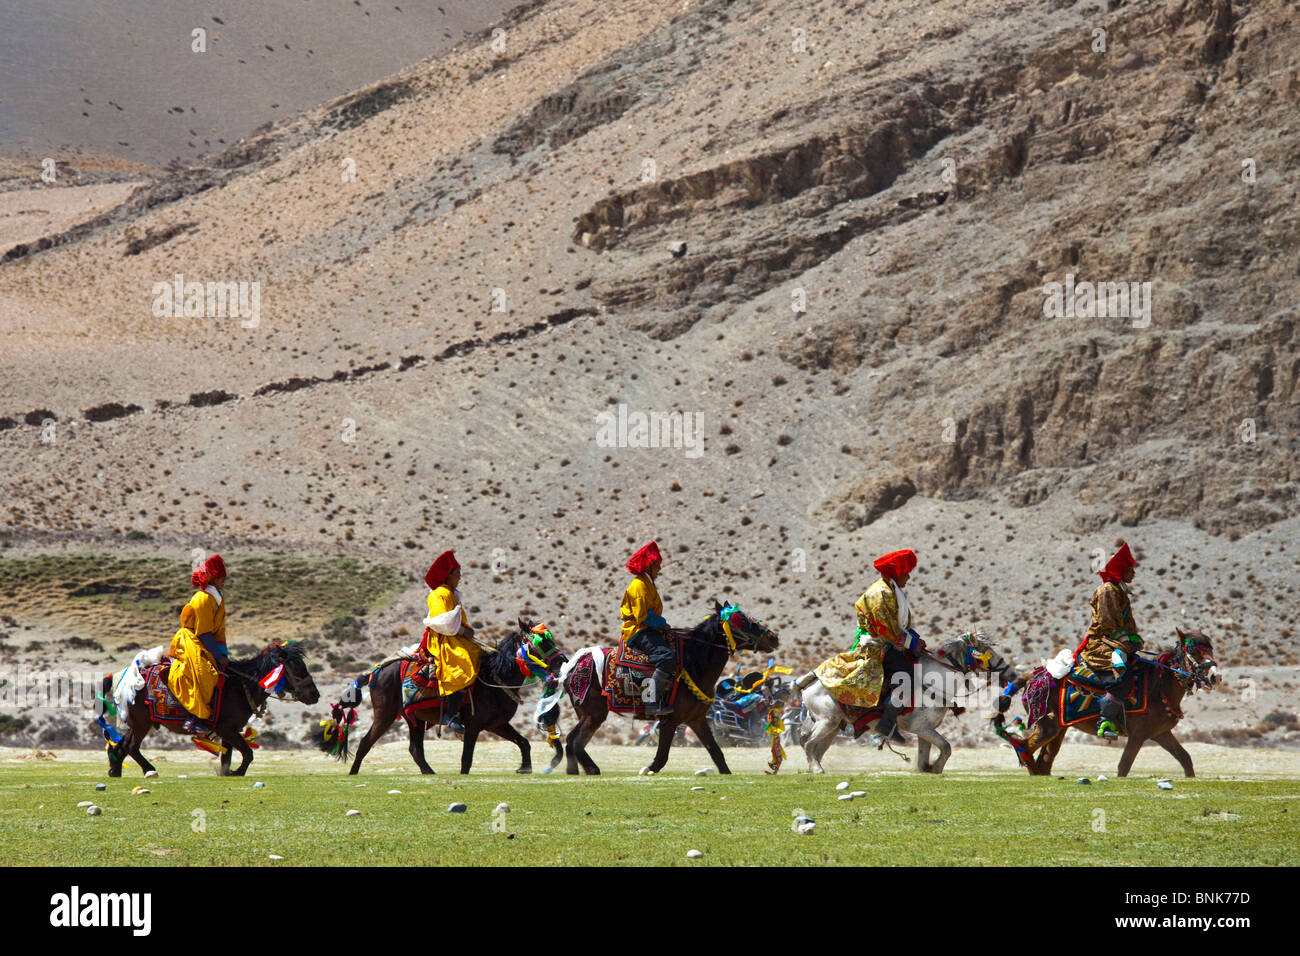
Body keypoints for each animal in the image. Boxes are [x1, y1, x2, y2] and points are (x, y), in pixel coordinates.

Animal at [102, 642, 321, 780]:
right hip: (142, 723)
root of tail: (123, 676)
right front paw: (236, 772)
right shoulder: (227, 729)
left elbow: (228, 756)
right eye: (295, 667)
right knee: (131, 746)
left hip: (138, 723)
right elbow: (248, 753)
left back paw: (115, 771)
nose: (315, 695)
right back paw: (149, 770)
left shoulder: (230, 731)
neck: (240, 687)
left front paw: (226, 772)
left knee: (120, 747)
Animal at [340, 621, 564, 780]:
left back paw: (429, 772)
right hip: (385, 714)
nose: (562, 662)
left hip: (414, 718)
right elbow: (466, 759)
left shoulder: (497, 724)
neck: (495, 678)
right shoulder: (474, 726)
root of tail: (378, 669)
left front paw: (524, 768)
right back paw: (353, 773)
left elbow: (524, 742)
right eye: (541, 643)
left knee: (415, 749)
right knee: (366, 742)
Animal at [561, 606, 780, 780]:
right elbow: (662, 756)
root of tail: (573, 666)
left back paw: (576, 770)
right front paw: (647, 769)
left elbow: (716, 752)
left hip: (588, 714)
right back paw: (591, 769)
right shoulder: (670, 720)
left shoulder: (697, 720)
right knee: (575, 741)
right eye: (739, 620)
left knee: (573, 741)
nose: (773, 637)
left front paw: (726, 772)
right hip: (594, 714)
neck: (694, 663)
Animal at [790, 634, 1013, 780]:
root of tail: (810, 681)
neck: (935, 683)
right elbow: (947, 747)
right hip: (827, 722)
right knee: (808, 744)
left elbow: (926, 756)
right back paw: (817, 770)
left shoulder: (925, 731)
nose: (1010, 674)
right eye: (986, 652)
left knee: (815, 748)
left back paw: (815, 769)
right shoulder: (921, 728)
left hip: (834, 726)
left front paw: (929, 768)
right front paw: (936, 767)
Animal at [1013, 629, 1216, 780]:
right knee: (1024, 745)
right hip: (1048, 726)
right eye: (1194, 651)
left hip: (1059, 729)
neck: (1158, 687)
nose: (1215, 676)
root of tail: (1033, 676)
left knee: (1044, 760)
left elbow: (1185, 759)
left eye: (1211, 650)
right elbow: (1124, 766)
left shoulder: (1161, 733)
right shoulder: (1138, 735)